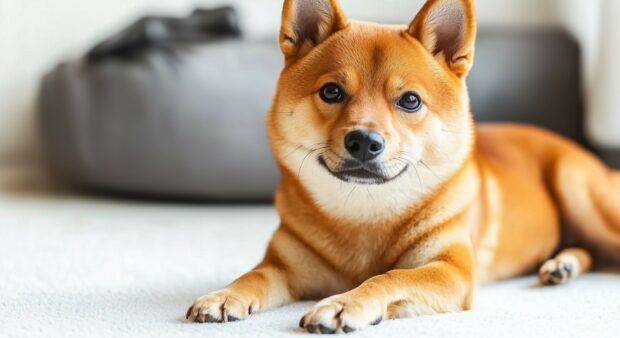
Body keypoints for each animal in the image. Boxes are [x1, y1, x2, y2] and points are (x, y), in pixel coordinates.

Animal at [185, 0, 620, 332]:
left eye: (410, 100)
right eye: (331, 91)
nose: (364, 141)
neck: (364, 213)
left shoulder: (450, 271)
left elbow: (389, 276)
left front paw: (345, 303)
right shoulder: (285, 265)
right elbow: (255, 274)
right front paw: (224, 295)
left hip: (578, 191)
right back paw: (562, 265)